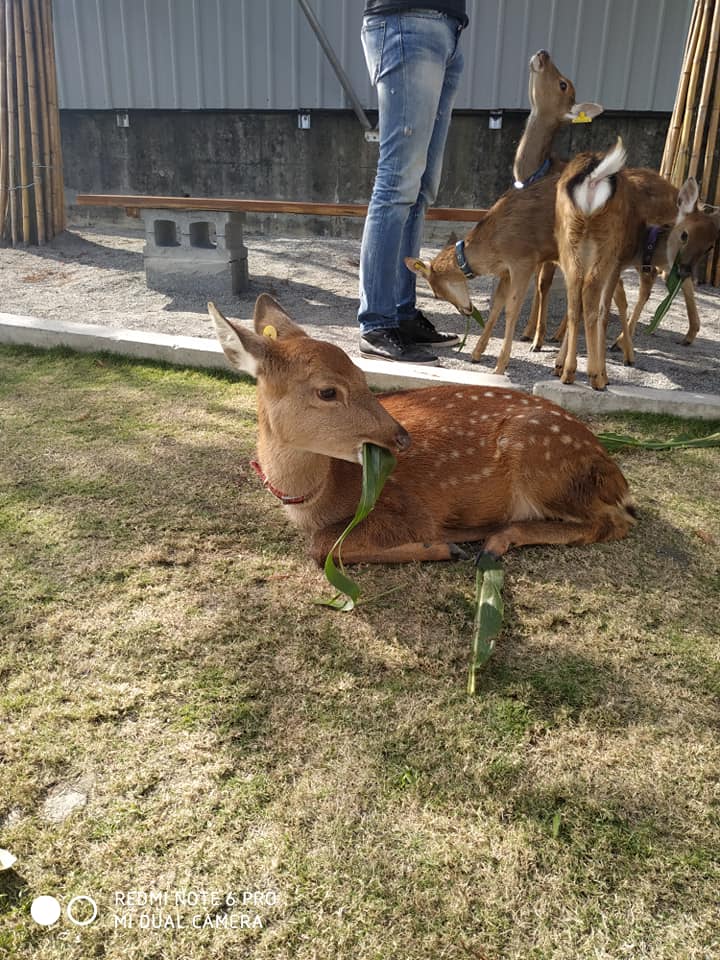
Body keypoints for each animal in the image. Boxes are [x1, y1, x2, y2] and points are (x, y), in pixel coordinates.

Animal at [210, 294, 636, 565]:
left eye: (363, 375)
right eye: (327, 391)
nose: (401, 437)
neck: (313, 502)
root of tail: (615, 477)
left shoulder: (410, 509)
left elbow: (320, 546)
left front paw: (442, 547)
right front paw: (446, 545)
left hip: (542, 460)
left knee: (615, 522)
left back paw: (493, 541)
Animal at [554, 139, 720, 390]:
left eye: (710, 246)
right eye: (685, 235)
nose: (685, 269)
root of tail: (593, 179)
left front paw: (560, 364)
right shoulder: (619, 261)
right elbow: (607, 310)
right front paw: (605, 369)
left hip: (569, 239)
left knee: (575, 301)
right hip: (606, 247)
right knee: (593, 299)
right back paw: (595, 375)